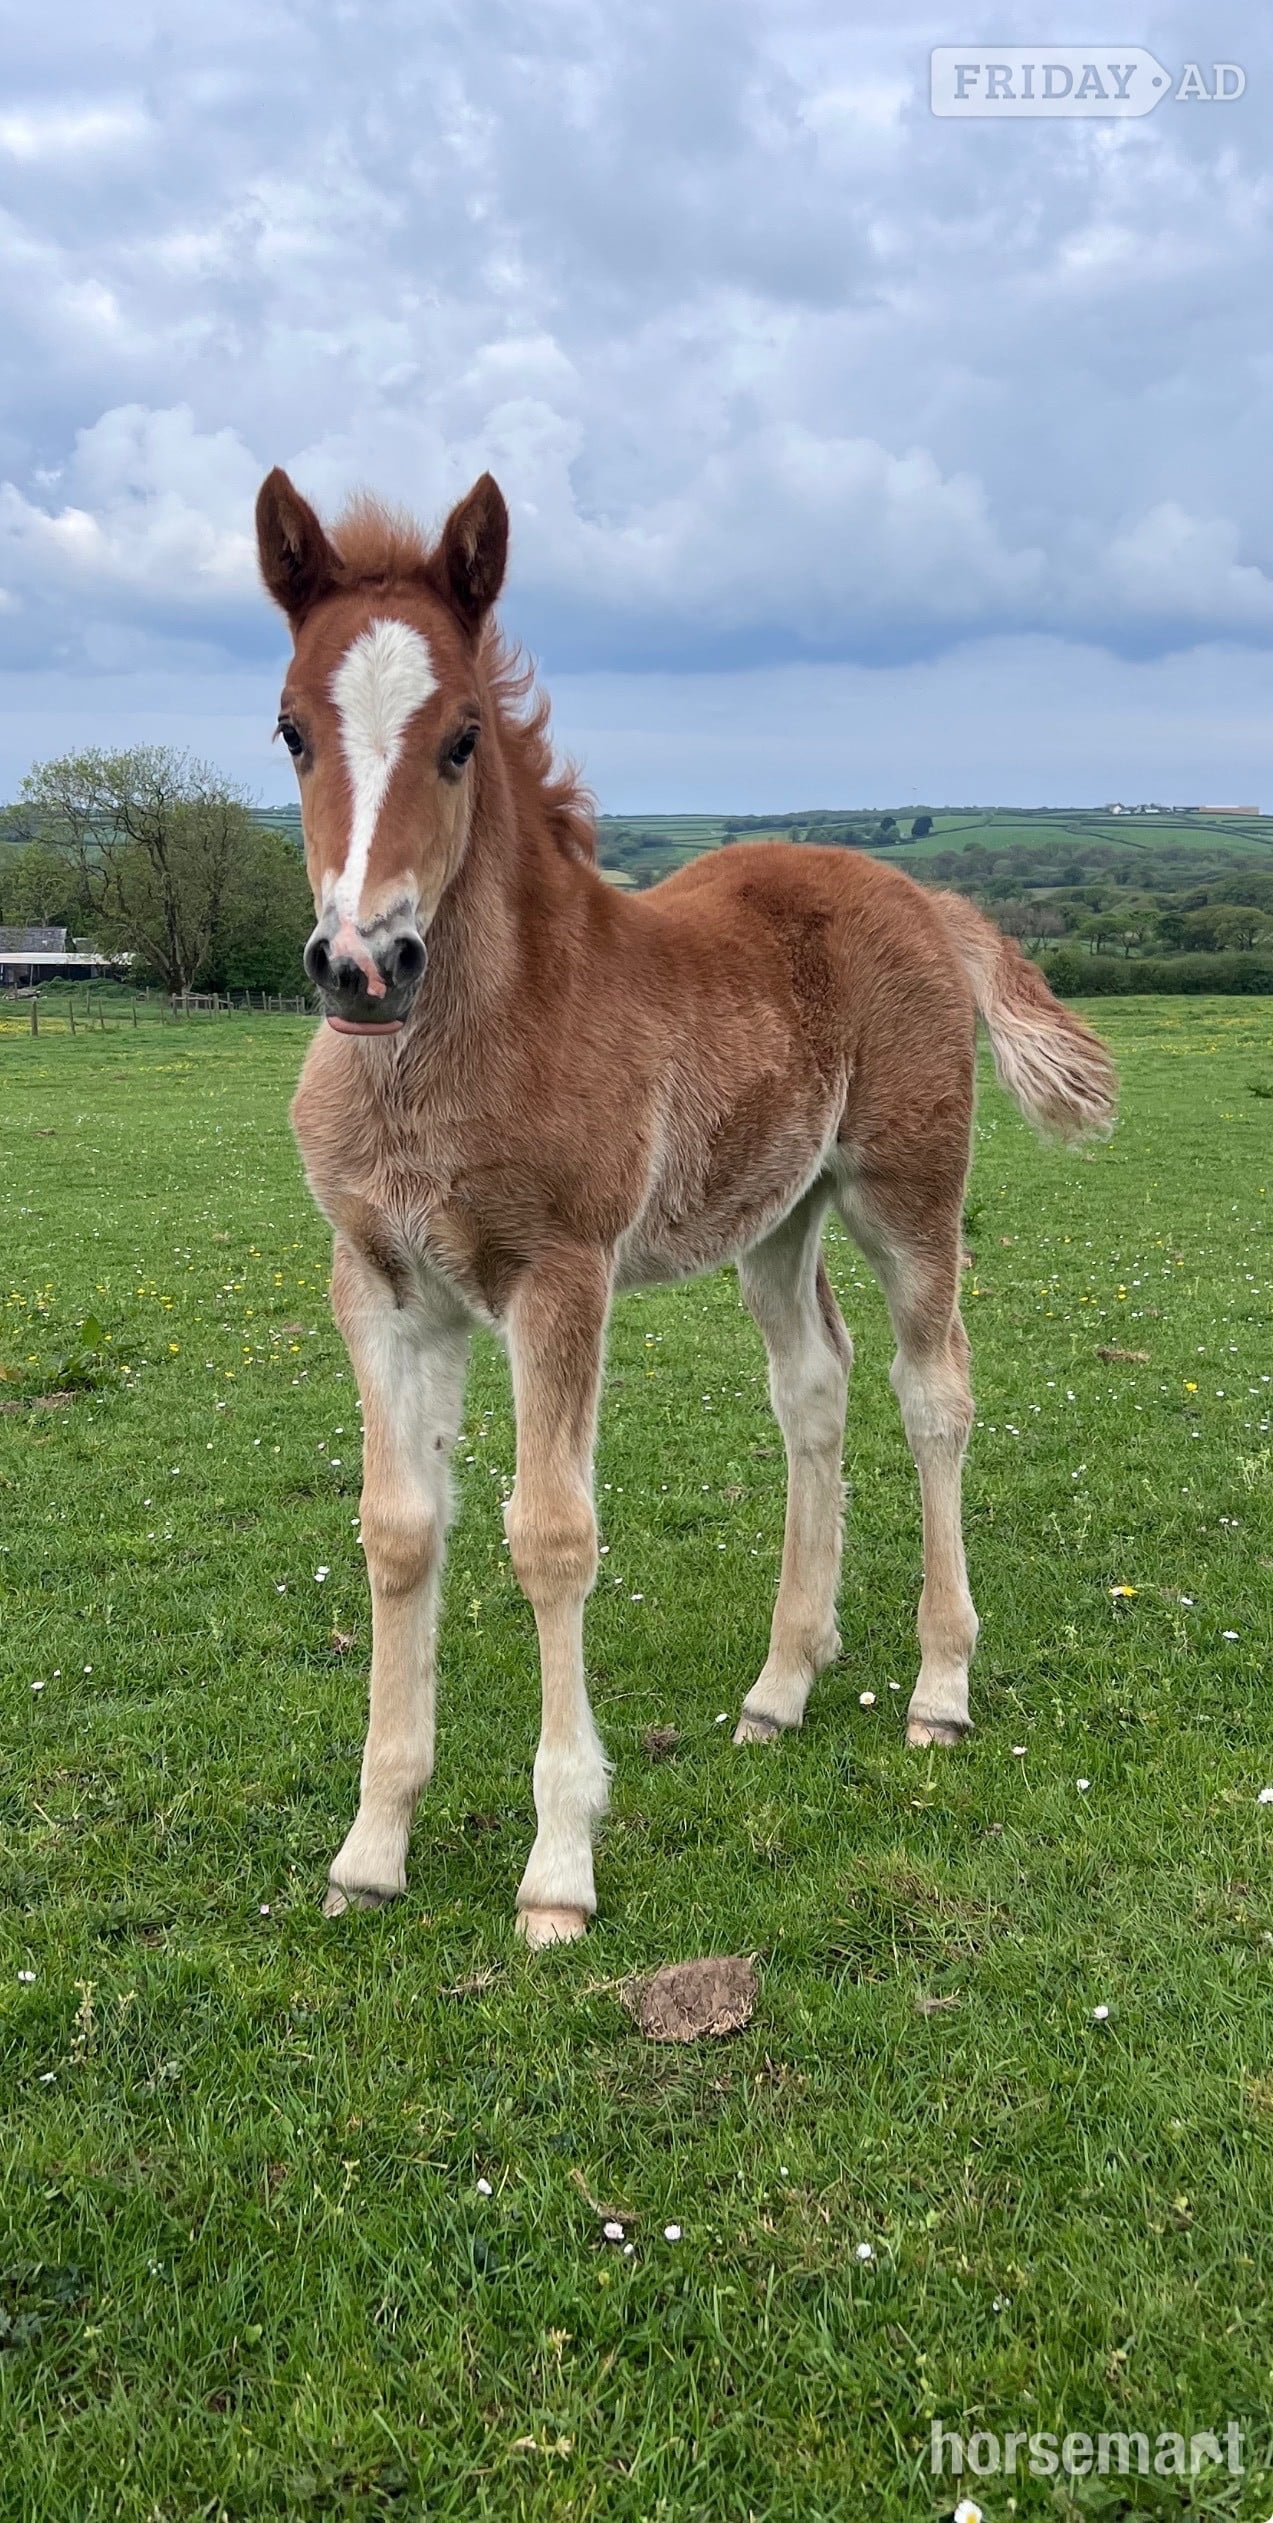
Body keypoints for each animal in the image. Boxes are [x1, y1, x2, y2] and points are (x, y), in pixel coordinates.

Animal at [255, 465, 1117, 1945]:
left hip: (905, 1189)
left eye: (461, 738)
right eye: (293, 730)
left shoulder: (558, 1274)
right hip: (776, 1214)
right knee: (815, 1387)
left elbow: (550, 1535)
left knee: (931, 1390)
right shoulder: (381, 1285)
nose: (363, 964)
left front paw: (558, 1870)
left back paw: (939, 1689)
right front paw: (370, 1847)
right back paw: (783, 1682)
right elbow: (398, 1532)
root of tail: (916, 889)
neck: (443, 1056)